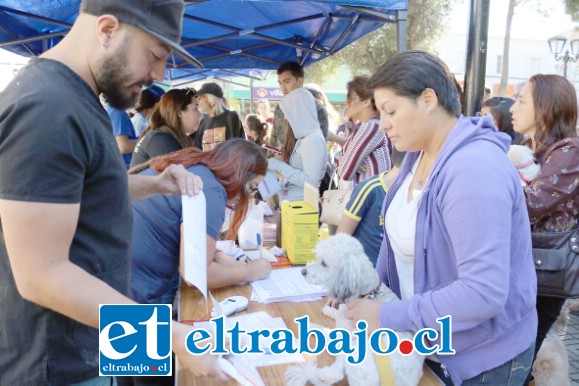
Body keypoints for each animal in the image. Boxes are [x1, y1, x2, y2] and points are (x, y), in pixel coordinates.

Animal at [284, 234, 424, 386]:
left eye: (324, 263)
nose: (303, 271)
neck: (368, 293)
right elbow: (335, 311)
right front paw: (328, 309)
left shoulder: (344, 324)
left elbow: (330, 330)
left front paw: (314, 325)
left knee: (337, 372)